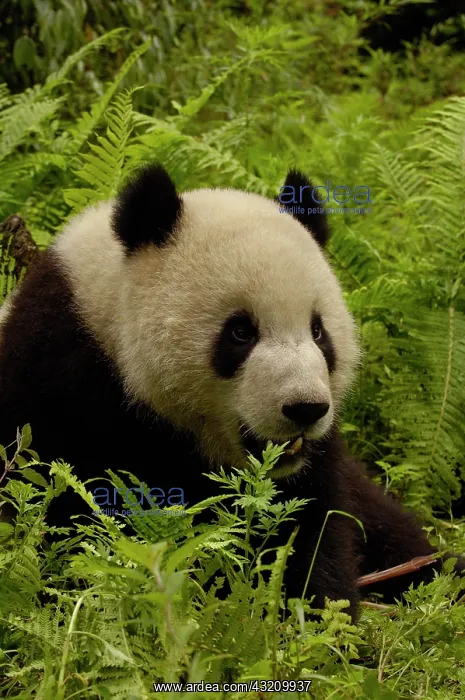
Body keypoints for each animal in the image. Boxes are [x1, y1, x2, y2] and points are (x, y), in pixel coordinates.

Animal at [0, 163, 463, 621]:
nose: (305, 409)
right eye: (240, 332)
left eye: (318, 332)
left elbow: (309, 523)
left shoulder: (313, 465)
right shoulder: (59, 388)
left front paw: (313, 610)